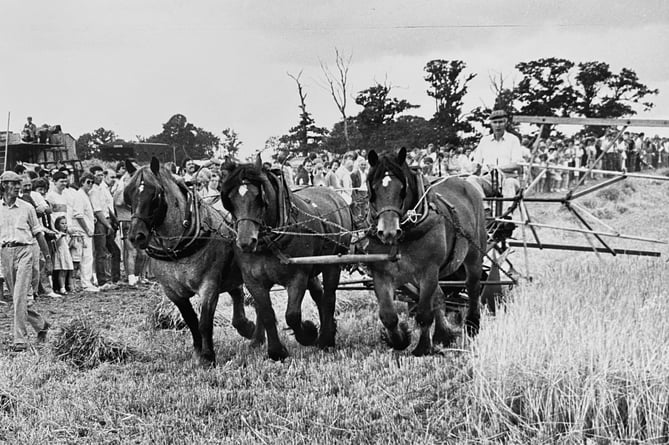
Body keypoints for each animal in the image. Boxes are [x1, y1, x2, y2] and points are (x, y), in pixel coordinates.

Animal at [122, 158, 258, 366]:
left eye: (155, 194)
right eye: (128, 194)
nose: (136, 236)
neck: (178, 248)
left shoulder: (209, 286)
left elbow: (204, 322)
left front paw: (208, 357)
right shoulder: (173, 292)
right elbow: (191, 321)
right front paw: (197, 353)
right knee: (237, 293)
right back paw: (246, 327)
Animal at [220, 157, 354, 360]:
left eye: (259, 197)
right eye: (231, 199)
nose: (245, 242)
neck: (269, 242)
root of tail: (334, 194)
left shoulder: (297, 276)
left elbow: (292, 315)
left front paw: (308, 333)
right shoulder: (253, 280)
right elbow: (266, 313)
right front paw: (276, 351)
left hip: (333, 263)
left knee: (329, 297)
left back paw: (326, 339)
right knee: (319, 295)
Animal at [366, 147, 486, 356]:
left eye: (402, 189)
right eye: (374, 188)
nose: (388, 231)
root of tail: (466, 182)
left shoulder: (429, 270)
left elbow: (423, 313)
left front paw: (422, 348)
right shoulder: (381, 274)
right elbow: (388, 316)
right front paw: (401, 339)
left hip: (474, 254)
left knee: (473, 286)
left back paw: (472, 325)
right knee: (439, 296)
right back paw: (443, 334)